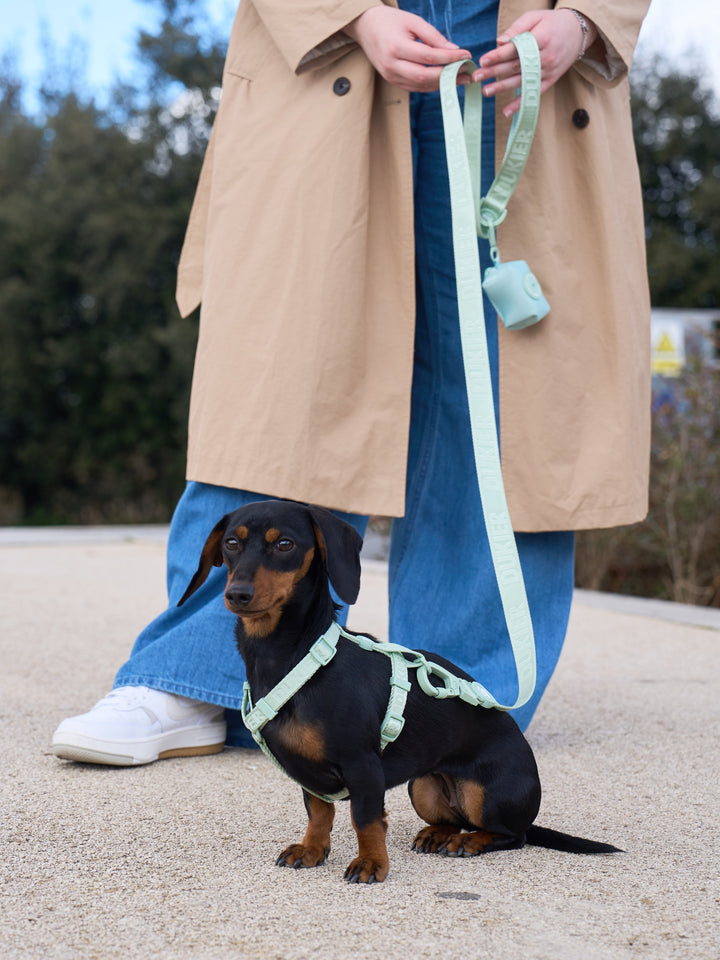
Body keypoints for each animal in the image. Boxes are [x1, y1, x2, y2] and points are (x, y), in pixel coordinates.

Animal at [180, 498, 620, 880]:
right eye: (231, 543)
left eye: (284, 544)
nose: (237, 594)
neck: (294, 656)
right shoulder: (312, 776)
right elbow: (319, 814)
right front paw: (312, 850)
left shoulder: (363, 767)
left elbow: (365, 819)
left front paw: (371, 863)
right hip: (422, 786)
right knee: (455, 820)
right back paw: (438, 835)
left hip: (485, 795)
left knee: (513, 835)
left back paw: (472, 842)